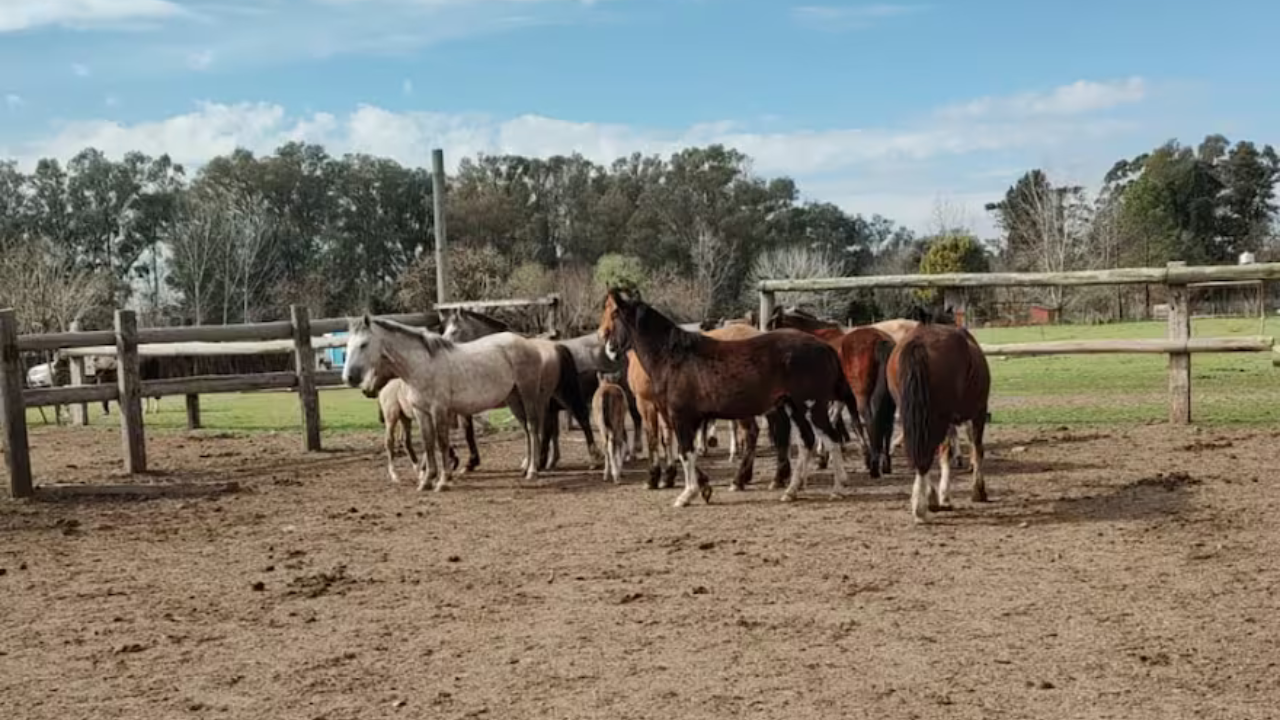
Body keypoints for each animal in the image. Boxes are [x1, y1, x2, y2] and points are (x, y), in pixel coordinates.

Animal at [599, 285, 860, 504]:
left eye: (614, 313)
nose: (608, 347)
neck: (673, 356)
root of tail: (825, 347)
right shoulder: (682, 416)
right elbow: (689, 452)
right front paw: (702, 488)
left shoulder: (679, 415)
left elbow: (685, 451)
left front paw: (687, 494)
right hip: (794, 407)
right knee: (807, 441)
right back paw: (791, 490)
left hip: (811, 406)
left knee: (831, 439)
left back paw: (836, 488)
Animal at [885, 320, 993, 520]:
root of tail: (919, 342)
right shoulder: (978, 413)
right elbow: (975, 449)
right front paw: (977, 491)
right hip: (940, 417)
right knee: (928, 452)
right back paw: (921, 506)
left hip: (913, 414)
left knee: (919, 451)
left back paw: (927, 498)